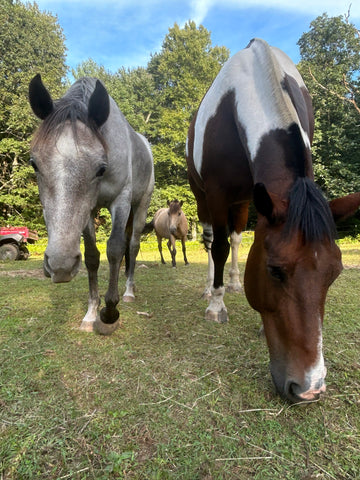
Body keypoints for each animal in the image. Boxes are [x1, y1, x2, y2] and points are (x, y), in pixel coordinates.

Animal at [28, 76, 155, 338]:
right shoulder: (88, 211)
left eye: (100, 168)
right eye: (34, 164)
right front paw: (91, 313)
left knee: (133, 245)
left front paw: (109, 312)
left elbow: (115, 249)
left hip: (140, 206)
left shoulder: (121, 200)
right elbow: (92, 257)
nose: (60, 266)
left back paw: (128, 291)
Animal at [186, 39, 360, 404]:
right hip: (202, 195)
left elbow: (236, 242)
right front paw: (216, 306)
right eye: (274, 271)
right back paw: (211, 288)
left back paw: (233, 283)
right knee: (211, 241)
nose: (309, 388)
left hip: (242, 199)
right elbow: (218, 247)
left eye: (335, 274)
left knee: (236, 239)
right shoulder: (217, 193)